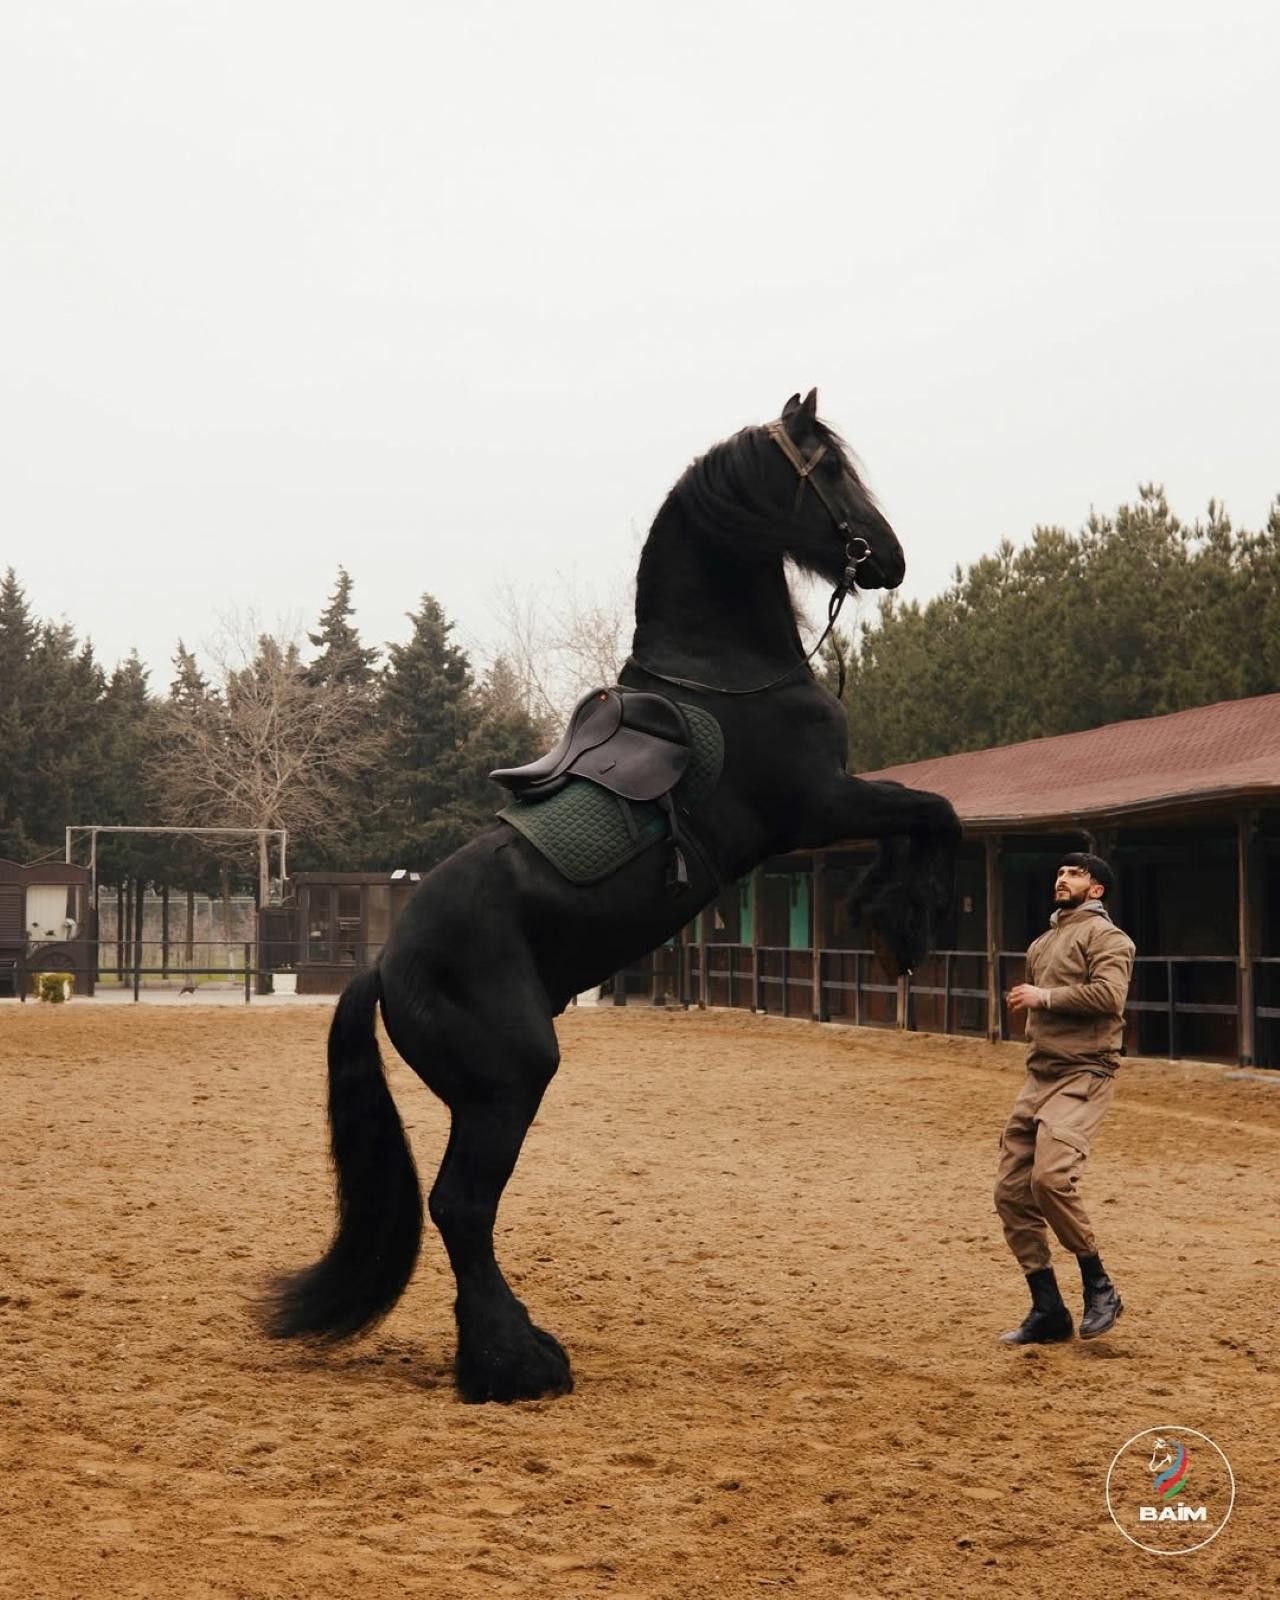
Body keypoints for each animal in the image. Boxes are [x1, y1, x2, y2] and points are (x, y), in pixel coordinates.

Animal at [262, 388, 961, 1403]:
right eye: (828, 470)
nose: (890, 557)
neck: (727, 675)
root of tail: (385, 968)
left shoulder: (827, 811)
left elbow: (922, 817)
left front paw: (890, 915)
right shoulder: (820, 805)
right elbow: (936, 813)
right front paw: (904, 921)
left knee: (459, 1211)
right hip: (511, 1081)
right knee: (462, 1207)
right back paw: (515, 1363)